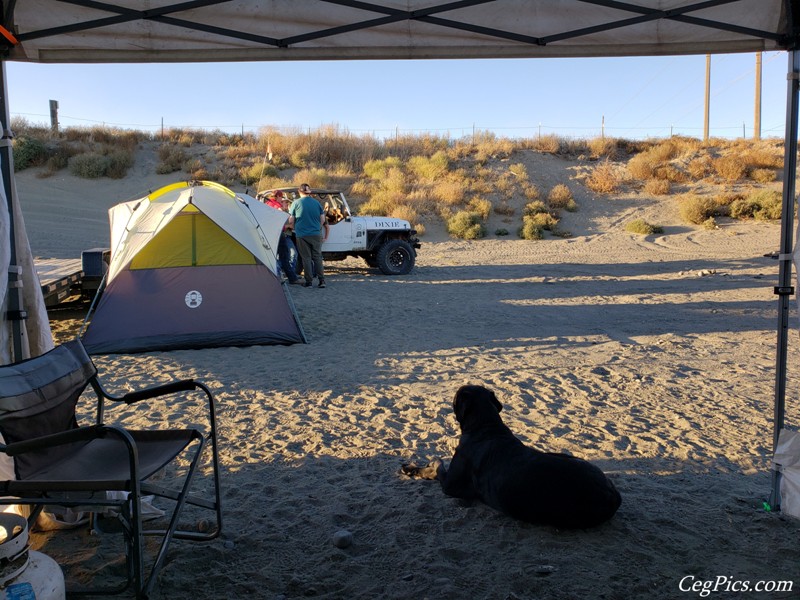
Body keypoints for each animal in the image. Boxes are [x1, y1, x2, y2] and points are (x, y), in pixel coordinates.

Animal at [404, 386, 620, 528]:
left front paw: (417, 466)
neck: (485, 425)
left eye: (456, 398)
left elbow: (437, 466)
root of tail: (612, 495)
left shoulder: (450, 485)